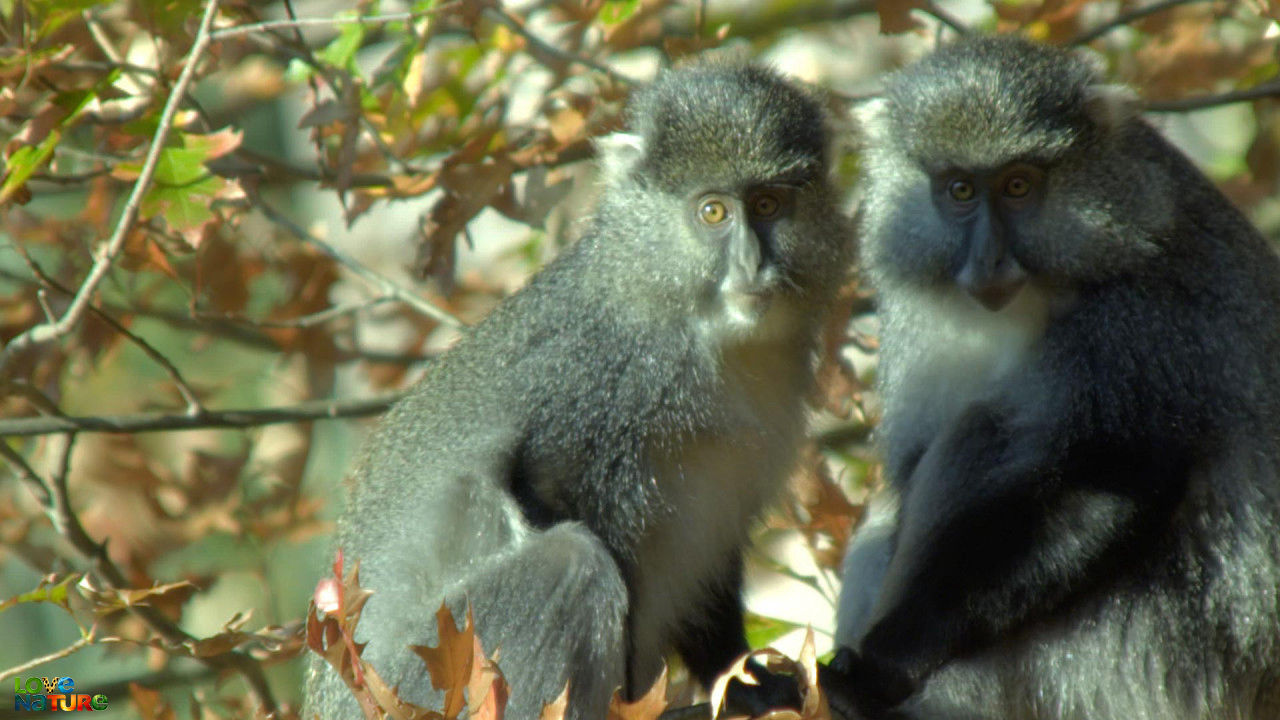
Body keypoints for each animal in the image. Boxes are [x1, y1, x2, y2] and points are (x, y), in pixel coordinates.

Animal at [304, 63, 855, 717]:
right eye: (713, 212)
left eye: (769, 204)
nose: (752, 266)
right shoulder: (604, 388)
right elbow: (546, 493)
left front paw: (749, 680)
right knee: (572, 563)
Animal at [824, 36, 1280, 717]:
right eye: (960, 190)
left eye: (1019, 185)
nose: (988, 261)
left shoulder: (1136, 326)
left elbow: (1106, 486)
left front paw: (887, 662)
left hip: (1127, 671)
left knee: (983, 432)